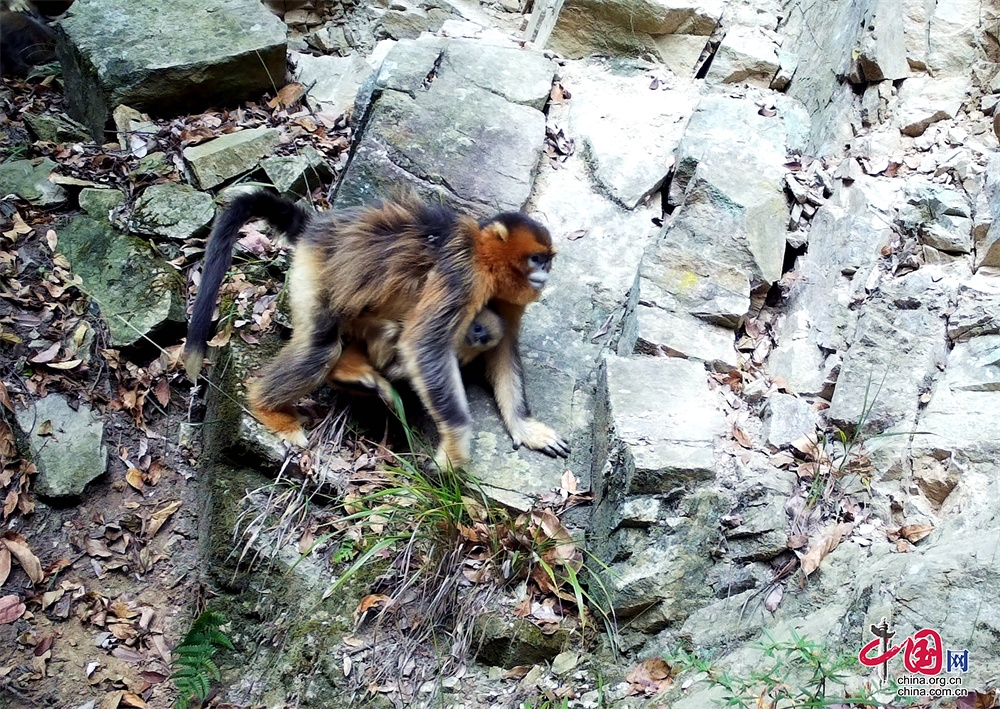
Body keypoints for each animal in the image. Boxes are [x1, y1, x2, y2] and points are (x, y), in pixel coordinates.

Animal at [183, 188, 568, 468]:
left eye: (547, 261)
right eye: (536, 259)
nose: (545, 274)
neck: (484, 258)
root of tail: (318, 227)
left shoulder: (506, 297)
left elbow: (502, 346)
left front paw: (523, 427)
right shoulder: (463, 275)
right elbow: (424, 346)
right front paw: (455, 449)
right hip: (315, 268)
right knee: (321, 345)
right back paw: (268, 408)